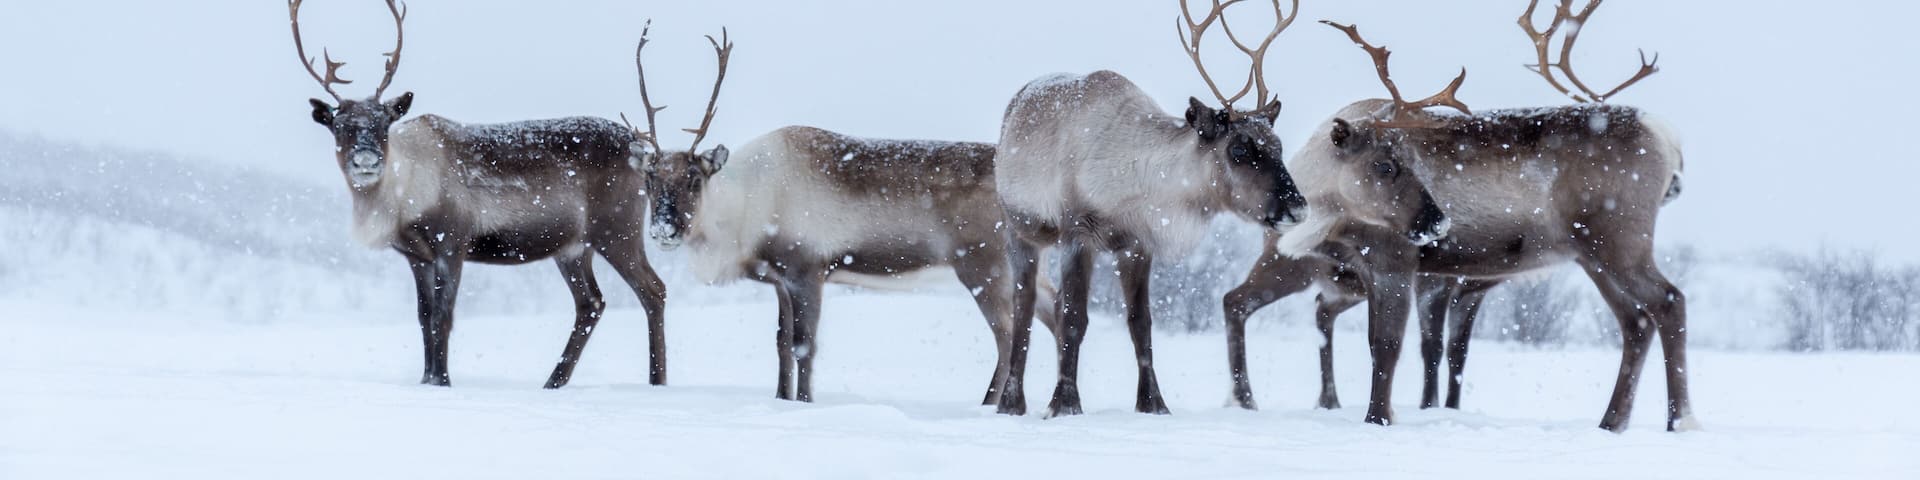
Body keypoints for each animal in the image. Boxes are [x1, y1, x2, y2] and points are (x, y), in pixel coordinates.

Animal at [290, 0, 667, 389]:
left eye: (383, 124)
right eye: (339, 126)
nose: (366, 161)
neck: (401, 195)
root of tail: (644, 151)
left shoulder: (452, 242)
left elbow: (443, 317)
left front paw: (442, 382)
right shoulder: (416, 256)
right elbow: (423, 317)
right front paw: (426, 381)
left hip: (617, 230)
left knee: (653, 290)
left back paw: (656, 380)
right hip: (573, 248)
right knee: (591, 303)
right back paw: (553, 383)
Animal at [624, 24, 1060, 405]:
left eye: (694, 179)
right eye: (650, 178)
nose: (663, 229)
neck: (744, 211)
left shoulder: (807, 269)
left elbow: (804, 345)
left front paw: (804, 401)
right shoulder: (779, 279)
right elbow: (780, 343)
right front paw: (781, 399)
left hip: (983, 266)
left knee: (1007, 335)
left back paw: (989, 404)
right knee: (1054, 314)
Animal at [990, 0, 1309, 417]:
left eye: (1278, 146)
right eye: (1239, 149)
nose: (1298, 208)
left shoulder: (1137, 245)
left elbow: (1141, 322)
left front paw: (1153, 404)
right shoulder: (1078, 233)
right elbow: (1075, 317)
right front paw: (1065, 404)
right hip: (1020, 230)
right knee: (1024, 305)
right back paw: (1011, 402)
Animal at [1224, 0, 1687, 415]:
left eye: (1409, 162)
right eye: (1385, 164)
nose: (1437, 223)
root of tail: (1665, 137)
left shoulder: (1399, 261)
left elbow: (1392, 347)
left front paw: (1381, 418)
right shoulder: (1390, 271)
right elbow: (1405, 345)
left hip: (1619, 241)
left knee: (1668, 301)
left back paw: (1677, 419)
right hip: (1592, 255)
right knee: (1636, 321)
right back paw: (1614, 422)